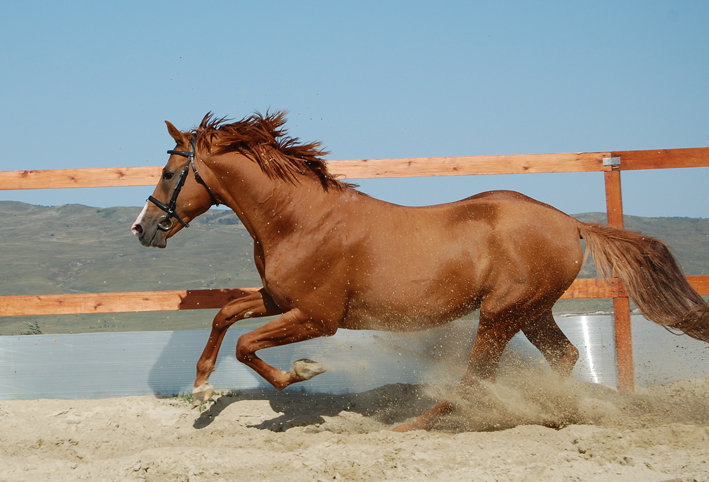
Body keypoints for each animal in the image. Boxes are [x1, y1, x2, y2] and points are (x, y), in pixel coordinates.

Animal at [133, 114, 708, 434]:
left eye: (168, 172)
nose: (143, 228)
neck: (301, 219)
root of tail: (571, 223)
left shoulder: (317, 317)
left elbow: (247, 344)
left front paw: (303, 372)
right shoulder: (279, 299)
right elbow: (225, 315)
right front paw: (202, 388)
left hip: (501, 315)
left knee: (477, 378)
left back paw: (416, 424)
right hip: (531, 311)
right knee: (563, 356)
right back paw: (549, 412)